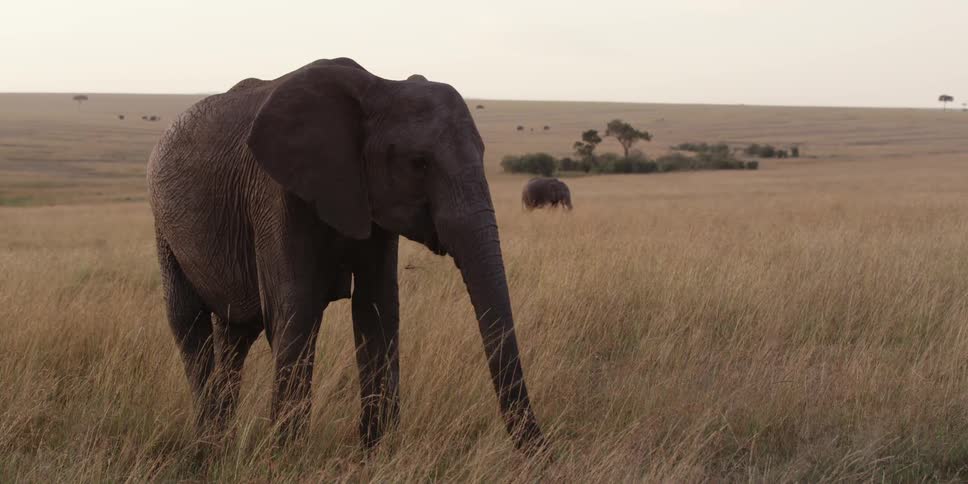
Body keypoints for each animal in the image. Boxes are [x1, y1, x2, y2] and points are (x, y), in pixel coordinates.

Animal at [146, 57, 544, 453]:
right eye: (418, 163)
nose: (543, 452)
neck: (379, 88)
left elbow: (377, 307)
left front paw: (376, 453)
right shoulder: (277, 193)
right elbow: (296, 309)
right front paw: (286, 457)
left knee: (234, 334)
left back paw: (222, 443)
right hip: (162, 224)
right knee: (189, 326)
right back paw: (209, 446)